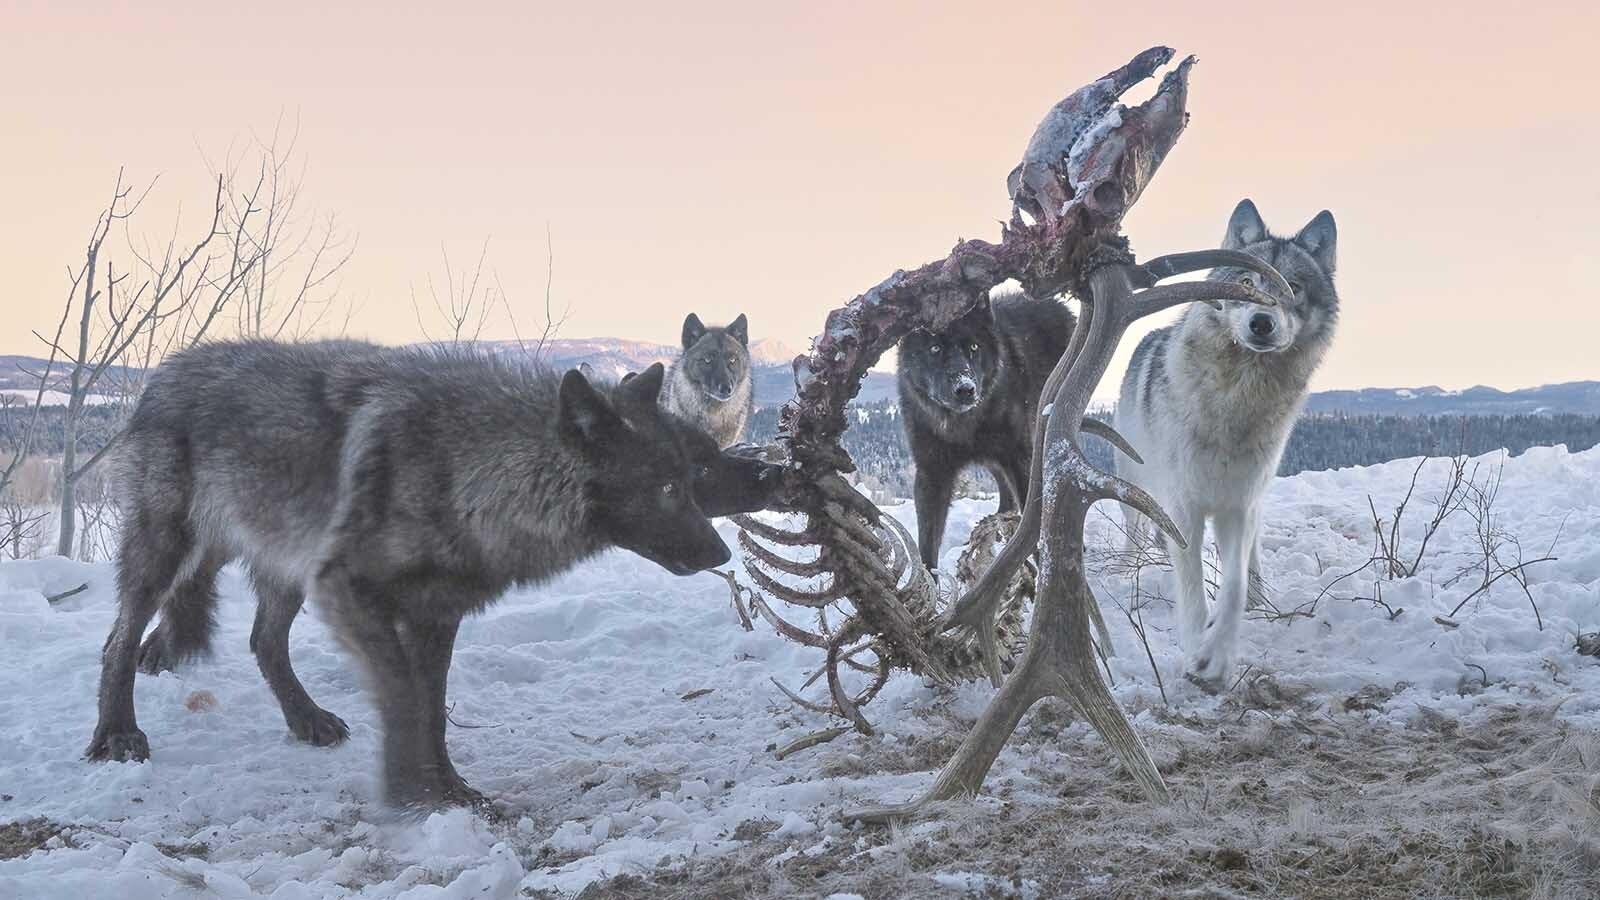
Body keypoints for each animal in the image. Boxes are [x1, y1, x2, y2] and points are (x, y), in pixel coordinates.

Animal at [85, 340, 774, 811]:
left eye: (688, 478)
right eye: (668, 488)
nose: (720, 554)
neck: (470, 472)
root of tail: (167, 369)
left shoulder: (435, 616)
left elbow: (433, 709)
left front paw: (449, 790)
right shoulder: (356, 597)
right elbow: (404, 702)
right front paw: (413, 792)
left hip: (287, 566)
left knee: (263, 640)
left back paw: (307, 721)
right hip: (166, 550)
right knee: (119, 640)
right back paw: (117, 735)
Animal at [897, 289, 1075, 571]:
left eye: (974, 347)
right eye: (935, 348)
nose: (965, 389)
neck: (963, 425)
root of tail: (1058, 305)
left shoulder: (1020, 457)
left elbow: (1031, 522)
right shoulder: (932, 472)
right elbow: (927, 541)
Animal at [1115, 199, 1339, 687]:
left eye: (1293, 287)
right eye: (1245, 284)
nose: (1261, 323)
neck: (1238, 400)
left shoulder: (1238, 503)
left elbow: (1232, 585)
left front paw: (1216, 656)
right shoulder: (1184, 507)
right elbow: (1192, 584)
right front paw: (1196, 646)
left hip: (1255, 498)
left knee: (1250, 560)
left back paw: (1260, 597)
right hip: (1136, 485)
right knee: (1133, 533)